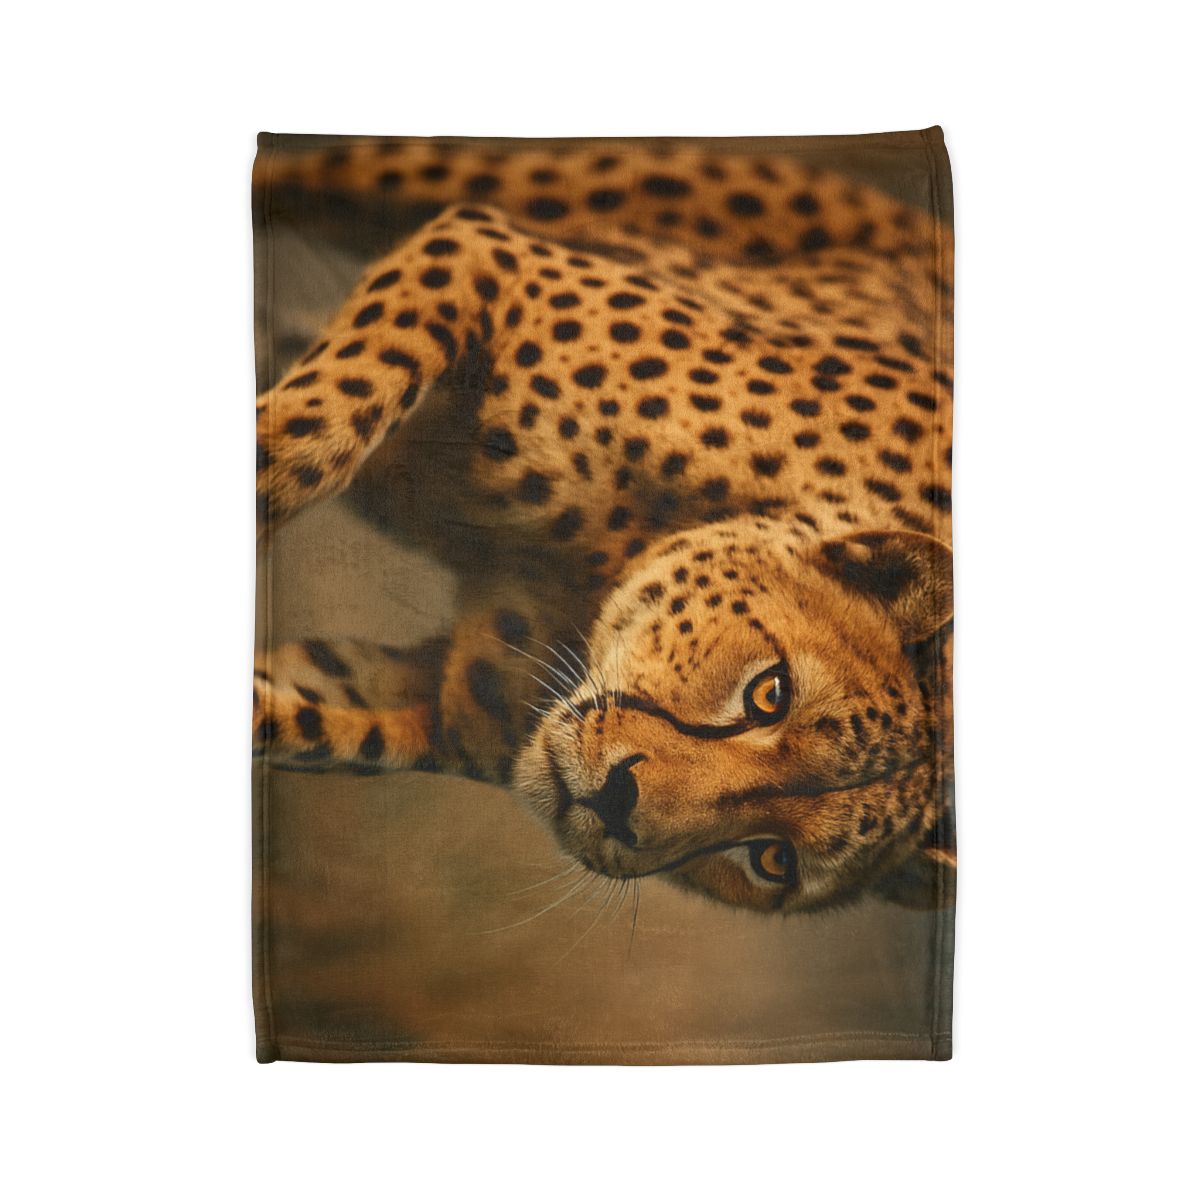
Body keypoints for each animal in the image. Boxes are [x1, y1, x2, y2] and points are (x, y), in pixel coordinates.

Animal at [253, 133, 955, 915]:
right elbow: (319, 426)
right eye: (771, 692)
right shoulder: (483, 249)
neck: (602, 570)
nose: (619, 806)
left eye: (773, 858)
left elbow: (299, 718)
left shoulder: (435, 706)